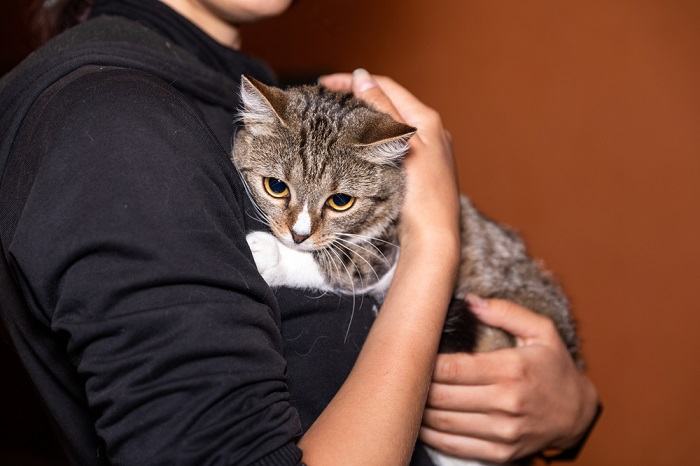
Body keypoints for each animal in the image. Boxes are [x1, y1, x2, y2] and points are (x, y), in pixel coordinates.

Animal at [230, 76, 580, 466]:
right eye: (276, 186)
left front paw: (270, 254)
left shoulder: (386, 248)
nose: (299, 234)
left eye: (341, 201)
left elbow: (342, 262)